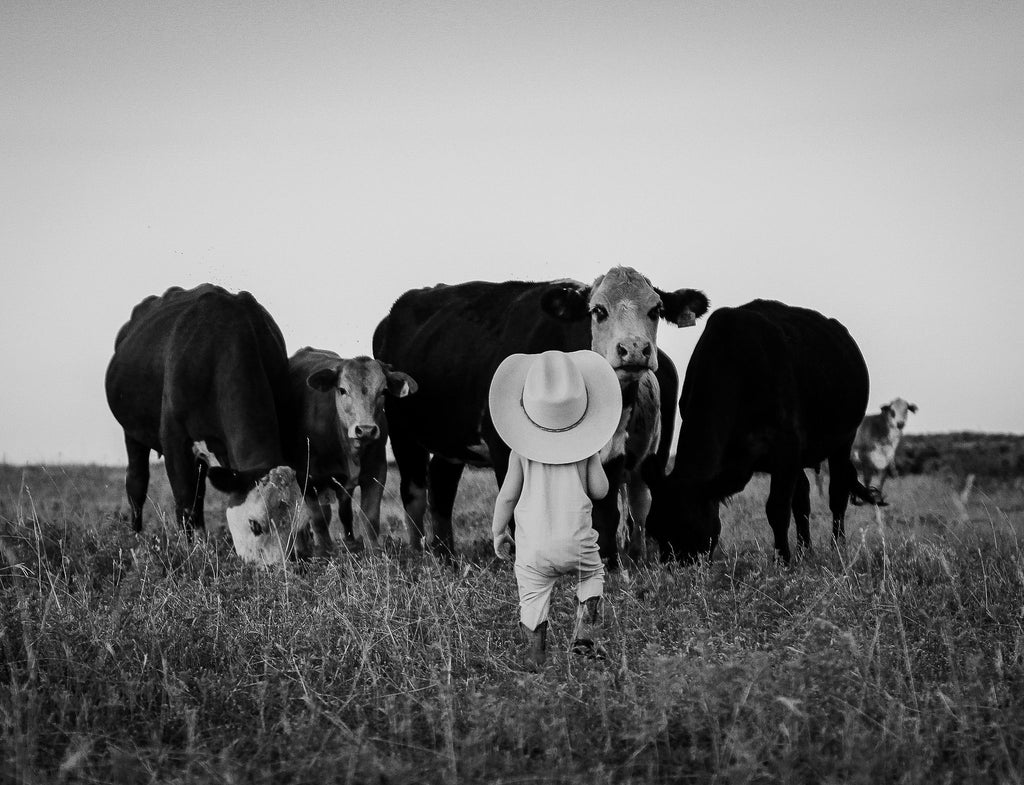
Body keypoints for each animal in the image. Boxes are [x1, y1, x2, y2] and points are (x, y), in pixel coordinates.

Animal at [104, 282, 313, 564]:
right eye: (255, 524)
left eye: (300, 526)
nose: (279, 569)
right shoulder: (175, 441)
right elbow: (184, 503)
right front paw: (191, 553)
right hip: (132, 434)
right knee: (137, 483)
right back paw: (136, 539)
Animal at [284, 350, 415, 552]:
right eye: (342, 390)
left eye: (383, 391)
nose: (366, 429)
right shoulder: (306, 477)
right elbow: (318, 518)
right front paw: (325, 550)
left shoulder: (376, 472)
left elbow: (369, 516)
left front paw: (373, 550)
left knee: (343, 511)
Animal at [372, 266, 708, 569]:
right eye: (598, 311)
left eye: (656, 309)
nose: (635, 349)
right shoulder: (504, 447)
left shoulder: (612, 449)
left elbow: (606, 511)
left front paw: (608, 564)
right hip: (402, 433)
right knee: (414, 492)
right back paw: (420, 556)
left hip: (453, 439)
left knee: (442, 485)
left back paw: (446, 556)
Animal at [643, 300, 876, 564]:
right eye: (654, 531)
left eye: (692, 530)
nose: (675, 570)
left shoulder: (787, 446)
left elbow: (777, 509)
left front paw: (782, 561)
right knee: (803, 497)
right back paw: (804, 550)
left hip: (844, 440)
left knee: (837, 494)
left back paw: (837, 548)